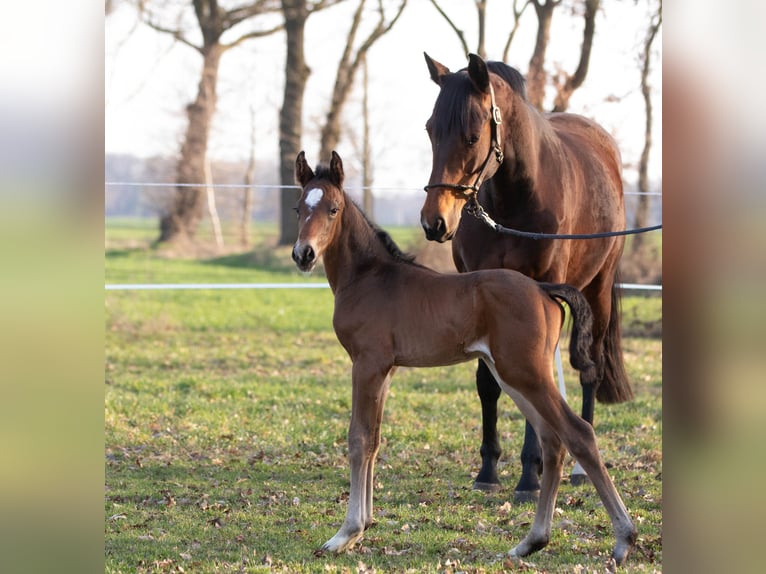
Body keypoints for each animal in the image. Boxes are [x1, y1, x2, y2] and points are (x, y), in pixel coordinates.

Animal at [291, 150, 636, 565]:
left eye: (333, 208)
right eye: (297, 208)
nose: (303, 254)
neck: (368, 277)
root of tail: (543, 289)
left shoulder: (367, 364)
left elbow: (358, 439)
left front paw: (346, 533)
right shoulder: (386, 370)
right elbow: (374, 440)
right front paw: (365, 525)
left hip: (526, 373)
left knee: (578, 433)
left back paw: (623, 538)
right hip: (515, 376)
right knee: (553, 441)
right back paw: (531, 541)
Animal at [420, 53, 632, 500]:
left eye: (471, 136)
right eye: (431, 129)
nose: (435, 222)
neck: (515, 200)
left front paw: (530, 476)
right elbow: (487, 383)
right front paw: (488, 470)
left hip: (598, 291)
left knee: (589, 369)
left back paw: (580, 469)